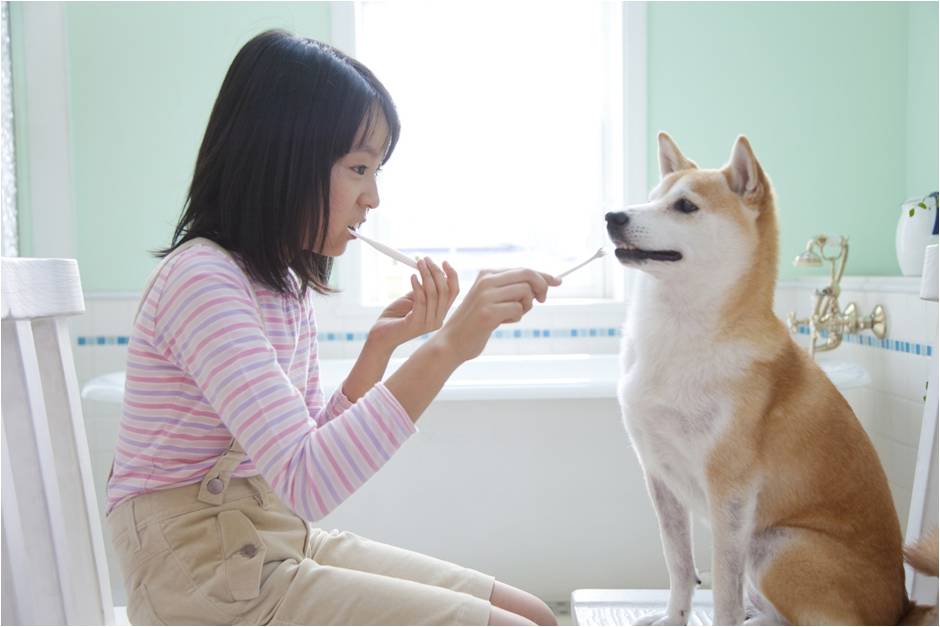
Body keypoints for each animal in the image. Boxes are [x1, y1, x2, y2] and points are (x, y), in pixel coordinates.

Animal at [604, 132, 920, 624]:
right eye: (652, 198)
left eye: (685, 206)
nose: (613, 217)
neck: (682, 339)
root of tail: (902, 603)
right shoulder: (659, 475)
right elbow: (679, 567)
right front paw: (673, 617)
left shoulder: (730, 492)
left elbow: (723, 592)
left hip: (776, 545)